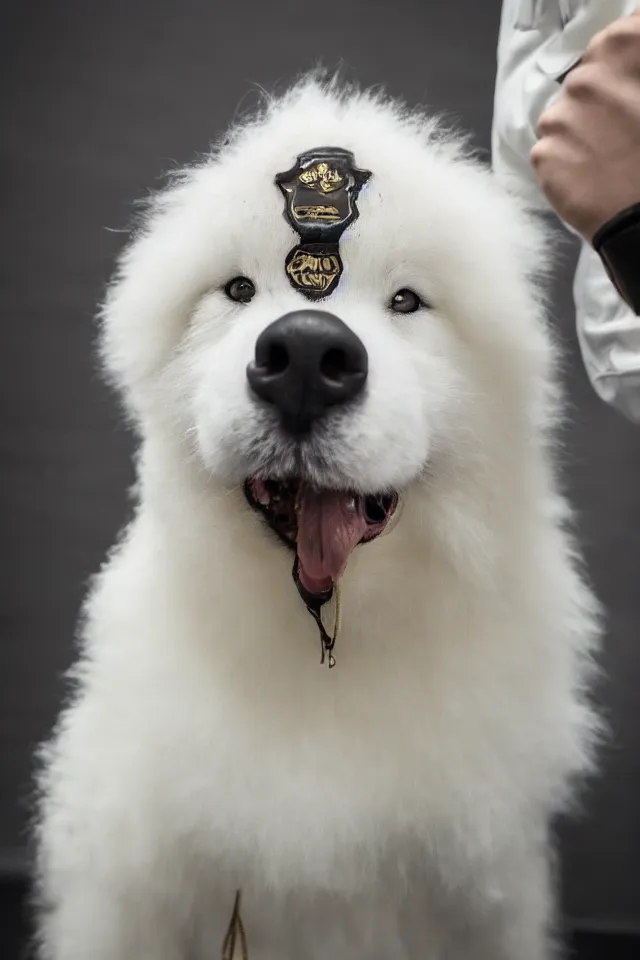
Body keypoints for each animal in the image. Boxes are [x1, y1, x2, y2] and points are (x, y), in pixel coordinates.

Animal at [35, 79, 600, 956]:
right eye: (238, 290)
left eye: (407, 301)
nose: (304, 357)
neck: (327, 645)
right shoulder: (134, 895)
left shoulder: (483, 897)